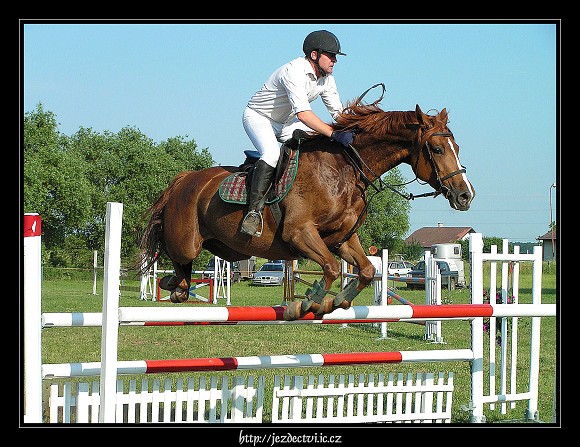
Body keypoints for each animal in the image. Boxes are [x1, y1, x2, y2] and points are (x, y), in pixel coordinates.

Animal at [140, 102, 476, 318]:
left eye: (458, 148)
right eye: (437, 149)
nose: (465, 195)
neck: (344, 170)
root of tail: (184, 179)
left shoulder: (341, 239)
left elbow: (366, 270)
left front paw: (332, 303)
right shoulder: (300, 233)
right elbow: (330, 267)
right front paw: (305, 304)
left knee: (180, 272)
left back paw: (175, 287)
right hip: (187, 241)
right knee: (173, 259)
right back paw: (173, 286)